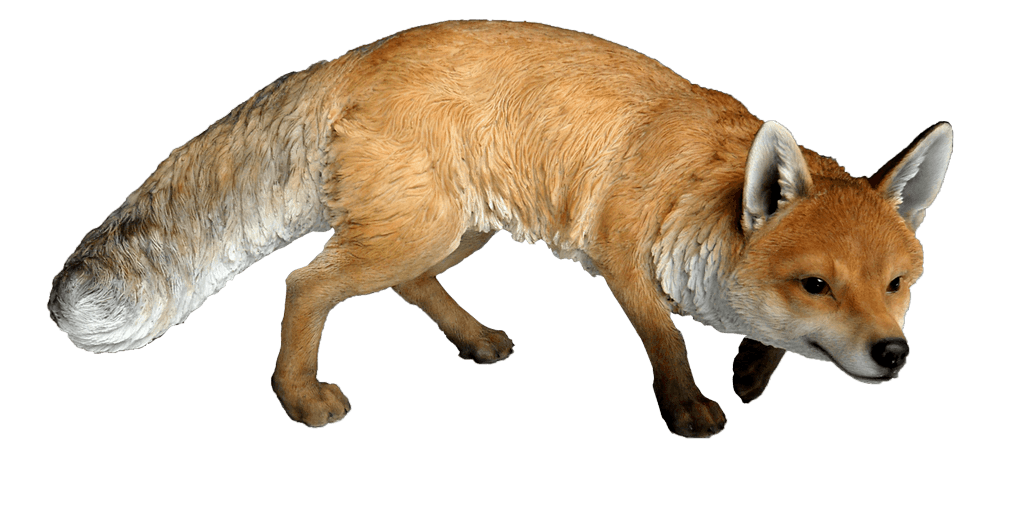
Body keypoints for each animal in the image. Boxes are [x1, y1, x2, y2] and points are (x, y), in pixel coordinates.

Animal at [47, 20, 952, 438]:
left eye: (897, 285)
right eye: (817, 282)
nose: (894, 352)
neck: (698, 191)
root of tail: (365, 51)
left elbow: (759, 336)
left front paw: (753, 369)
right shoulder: (620, 254)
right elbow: (666, 338)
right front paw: (690, 405)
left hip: (454, 230)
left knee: (406, 284)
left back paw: (474, 338)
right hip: (414, 229)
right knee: (306, 282)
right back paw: (300, 396)